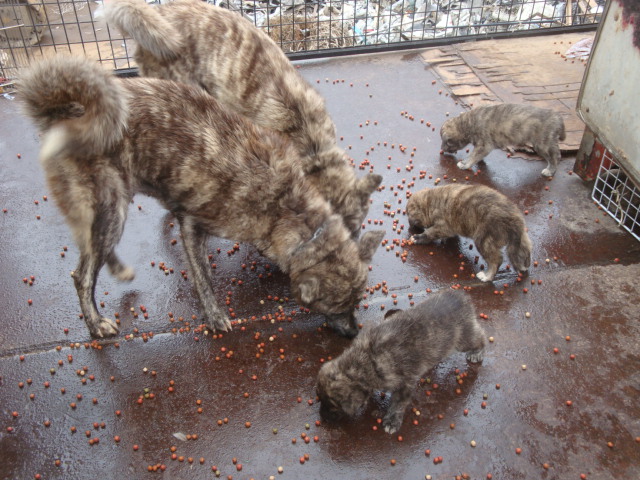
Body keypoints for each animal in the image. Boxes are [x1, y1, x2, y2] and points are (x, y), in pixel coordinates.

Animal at [18, 57, 384, 338]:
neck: (285, 202)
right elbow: (203, 278)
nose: (355, 331)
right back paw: (95, 323)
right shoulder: (193, 226)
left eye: (357, 302)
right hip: (110, 208)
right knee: (82, 275)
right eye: (339, 306)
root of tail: (64, 113)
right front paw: (215, 314)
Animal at [316, 288, 484, 436]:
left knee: (479, 336)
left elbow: (397, 404)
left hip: (463, 339)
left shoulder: (405, 383)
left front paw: (392, 421)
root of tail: (462, 297)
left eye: (333, 406)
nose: (322, 417)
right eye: (319, 398)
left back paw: (477, 353)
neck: (365, 360)